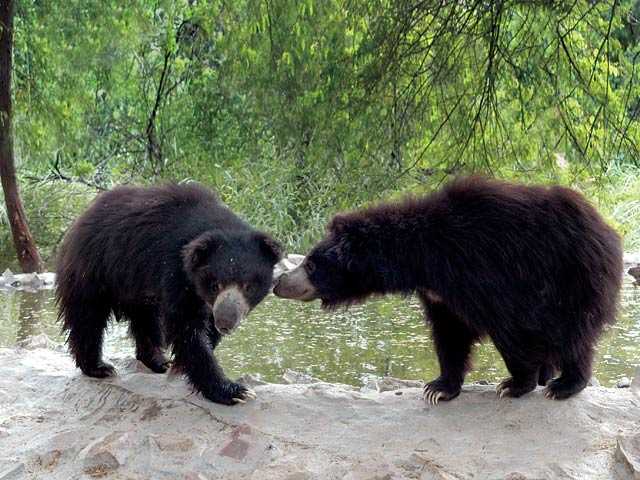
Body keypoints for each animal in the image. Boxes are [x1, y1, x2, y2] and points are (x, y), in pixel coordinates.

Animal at [56, 183, 283, 405]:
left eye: (248, 286)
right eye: (215, 285)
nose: (225, 323)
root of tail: (81, 217)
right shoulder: (175, 268)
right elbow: (187, 328)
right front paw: (235, 391)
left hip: (136, 286)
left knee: (146, 320)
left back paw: (159, 361)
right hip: (95, 269)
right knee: (88, 317)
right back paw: (99, 367)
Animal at [274, 177, 623, 403]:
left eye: (311, 264)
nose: (279, 283)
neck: (422, 258)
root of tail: (606, 229)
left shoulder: (483, 271)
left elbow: (508, 327)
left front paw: (514, 384)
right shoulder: (438, 293)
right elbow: (450, 333)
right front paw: (439, 388)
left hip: (573, 277)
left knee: (573, 333)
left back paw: (563, 384)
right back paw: (548, 377)